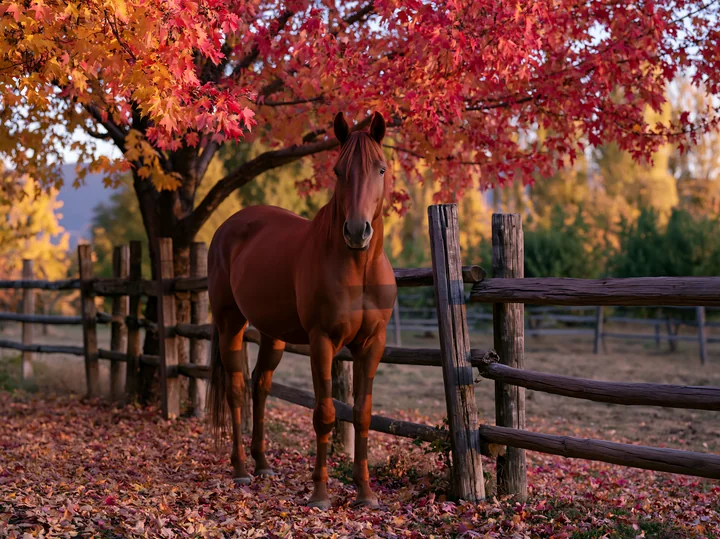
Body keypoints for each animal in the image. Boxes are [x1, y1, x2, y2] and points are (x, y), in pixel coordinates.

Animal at [206, 111, 397, 509]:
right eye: (339, 171)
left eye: (381, 169)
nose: (357, 232)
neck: (358, 268)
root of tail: (226, 228)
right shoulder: (322, 341)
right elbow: (325, 414)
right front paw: (320, 494)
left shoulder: (372, 344)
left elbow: (362, 414)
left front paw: (365, 493)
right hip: (230, 322)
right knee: (236, 388)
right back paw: (240, 469)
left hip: (273, 334)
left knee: (260, 385)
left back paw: (263, 463)